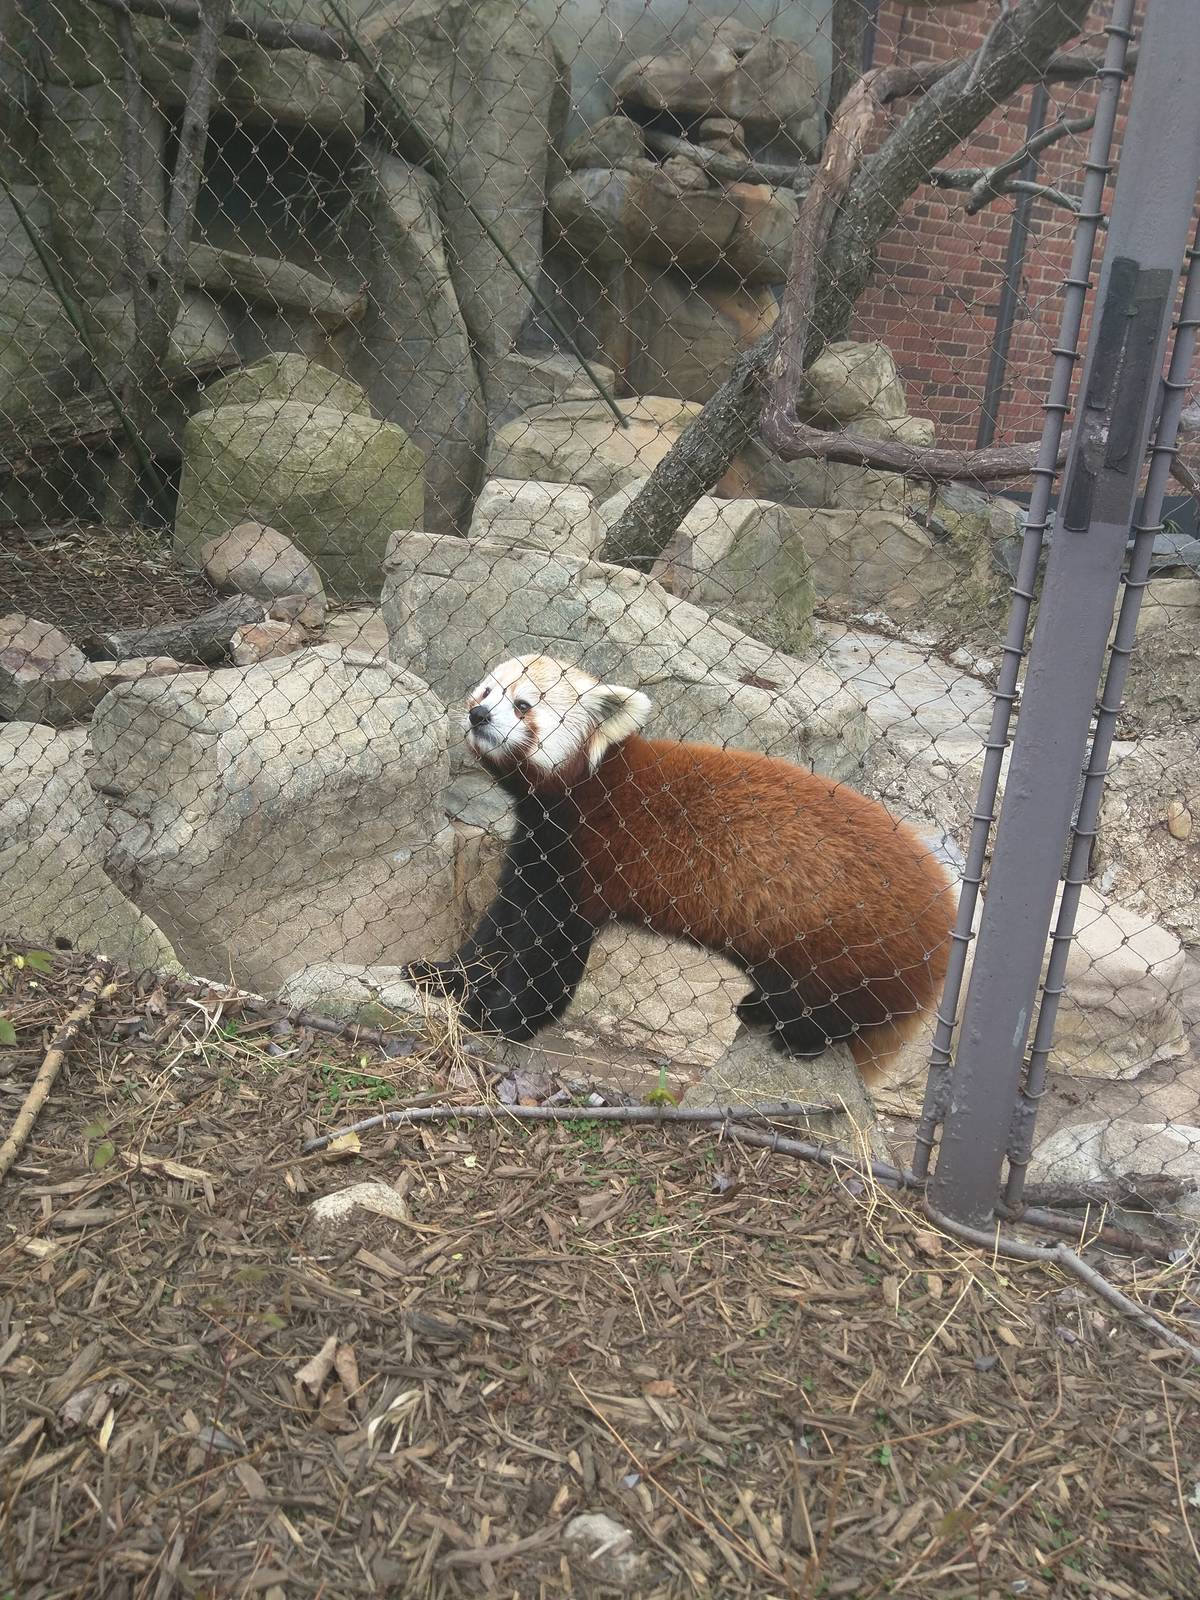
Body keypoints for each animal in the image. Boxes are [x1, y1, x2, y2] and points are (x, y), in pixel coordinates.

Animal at [404, 654, 956, 1083]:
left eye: (523, 705)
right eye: (486, 690)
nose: (478, 714)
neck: (585, 788)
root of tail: (945, 917)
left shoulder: (589, 862)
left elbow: (547, 954)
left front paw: (499, 1015)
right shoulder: (539, 848)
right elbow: (500, 925)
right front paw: (441, 977)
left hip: (848, 947)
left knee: (834, 1010)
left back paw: (798, 1037)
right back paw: (760, 1007)